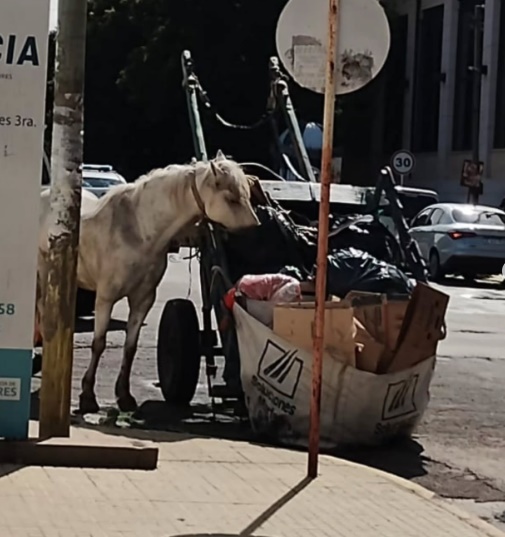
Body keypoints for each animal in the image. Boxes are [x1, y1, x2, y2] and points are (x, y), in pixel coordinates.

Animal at [38, 153, 260, 412]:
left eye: (247, 194)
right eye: (231, 197)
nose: (256, 230)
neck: (138, 230)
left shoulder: (143, 299)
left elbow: (130, 347)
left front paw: (124, 396)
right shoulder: (105, 298)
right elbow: (99, 343)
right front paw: (87, 397)